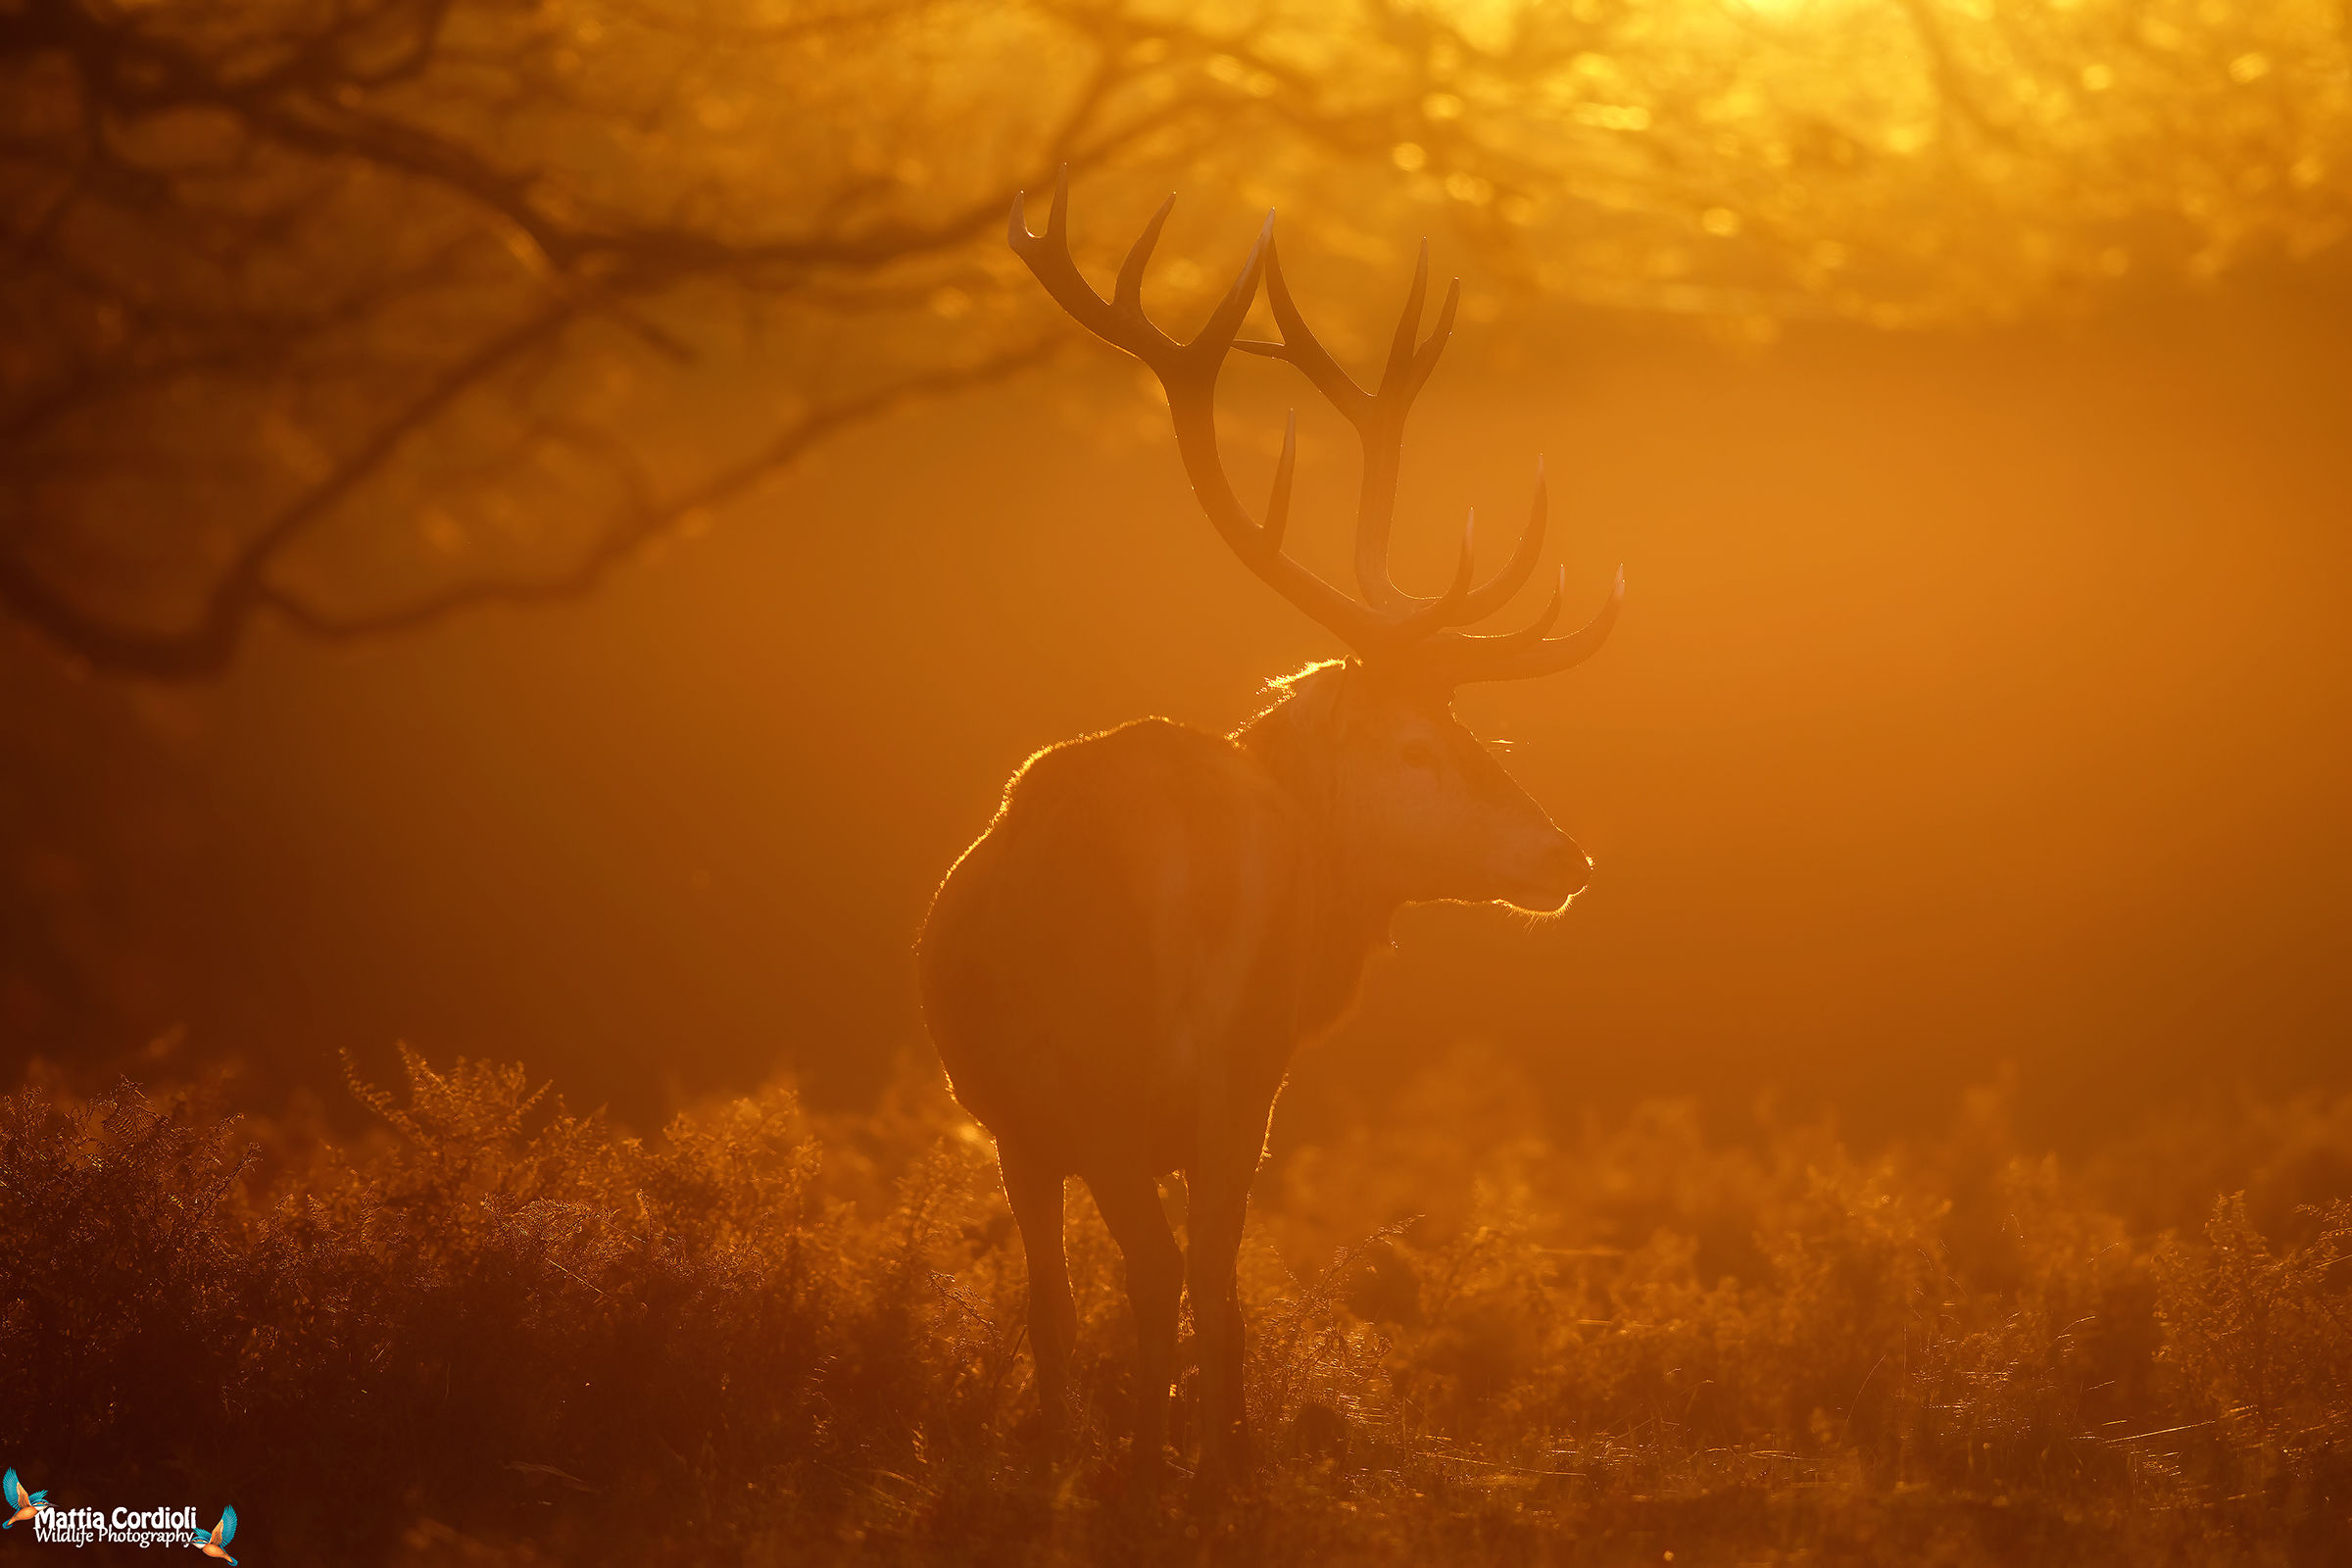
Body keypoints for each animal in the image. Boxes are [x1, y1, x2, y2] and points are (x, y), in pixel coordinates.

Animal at [916, 171, 1623, 1501]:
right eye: (1423, 746)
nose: (1567, 856)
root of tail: (1186, 853)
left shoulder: (1020, 1126)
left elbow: (1050, 1303)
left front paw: (1066, 1444)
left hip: (1111, 1076)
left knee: (1155, 1266)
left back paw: (1151, 1463)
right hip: (1237, 1077)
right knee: (1210, 1265)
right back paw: (1221, 1456)